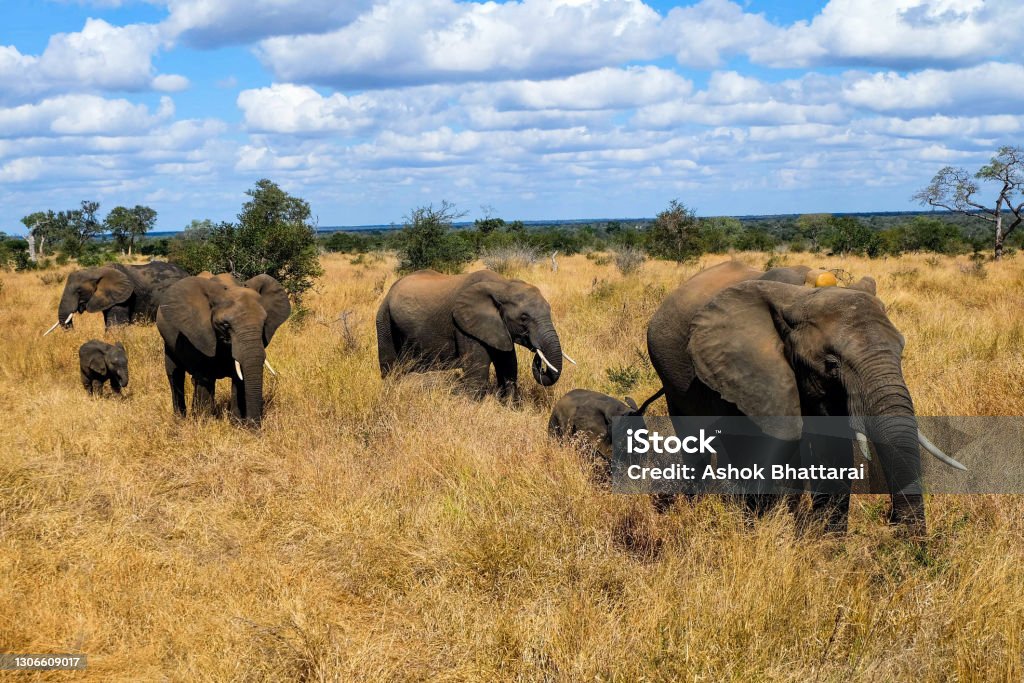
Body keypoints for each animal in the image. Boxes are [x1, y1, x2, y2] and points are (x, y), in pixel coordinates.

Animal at [157, 274, 290, 423]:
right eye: (225, 325)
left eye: (264, 323)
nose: (253, 425)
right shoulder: (201, 334)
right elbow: (205, 377)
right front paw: (204, 422)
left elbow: (239, 378)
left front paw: (237, 423)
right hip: (168, 343)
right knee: (175, 375)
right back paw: (180, 420)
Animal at [376, 266, 573, 395]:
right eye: (524, 318)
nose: (539, 359)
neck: (503, 286)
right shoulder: (464, 326)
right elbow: (477, 371)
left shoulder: (498, 328)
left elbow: (508, 365)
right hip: (384, 319)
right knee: (389, 367)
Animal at [643, 260, 962, 532]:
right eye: (832, 365)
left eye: (901, 352)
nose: (892, 523)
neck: (803, 296)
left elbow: (831, 450)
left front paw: (825, 543)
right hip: (670, 371)